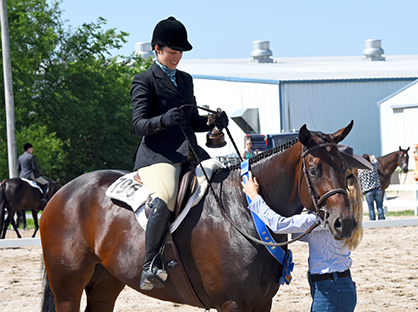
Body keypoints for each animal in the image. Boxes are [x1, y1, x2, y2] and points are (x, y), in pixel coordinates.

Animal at [40, 120, 356, 310]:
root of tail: (62, 192)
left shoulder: (261, 303)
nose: (345, 223)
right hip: (67, 287)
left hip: (105, 283)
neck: (245, 212)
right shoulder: (232, 304)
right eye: (313, 169)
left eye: (345, 167)